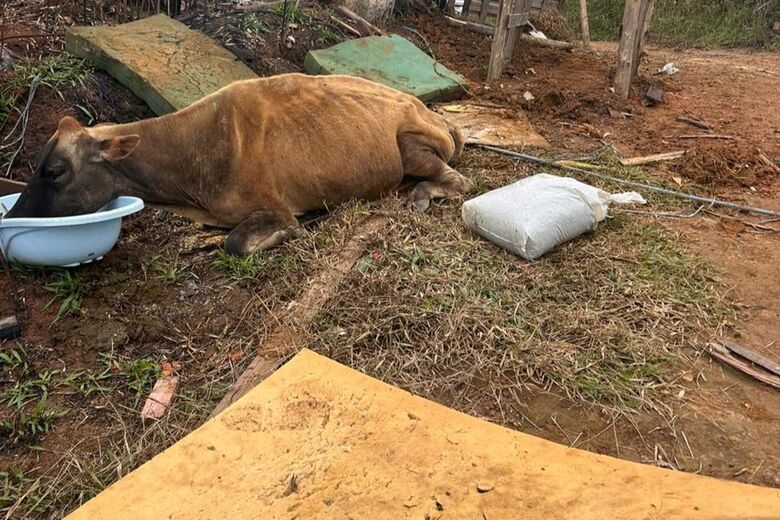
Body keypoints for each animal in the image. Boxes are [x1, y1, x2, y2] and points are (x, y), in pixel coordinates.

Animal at [6, 73, 472, 255]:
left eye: (55, 171)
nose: (14, 215)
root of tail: (430, 111)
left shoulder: (277, 208)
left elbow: (239, 242)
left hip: (411, 145)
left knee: (458, 180)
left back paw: (420, 194)